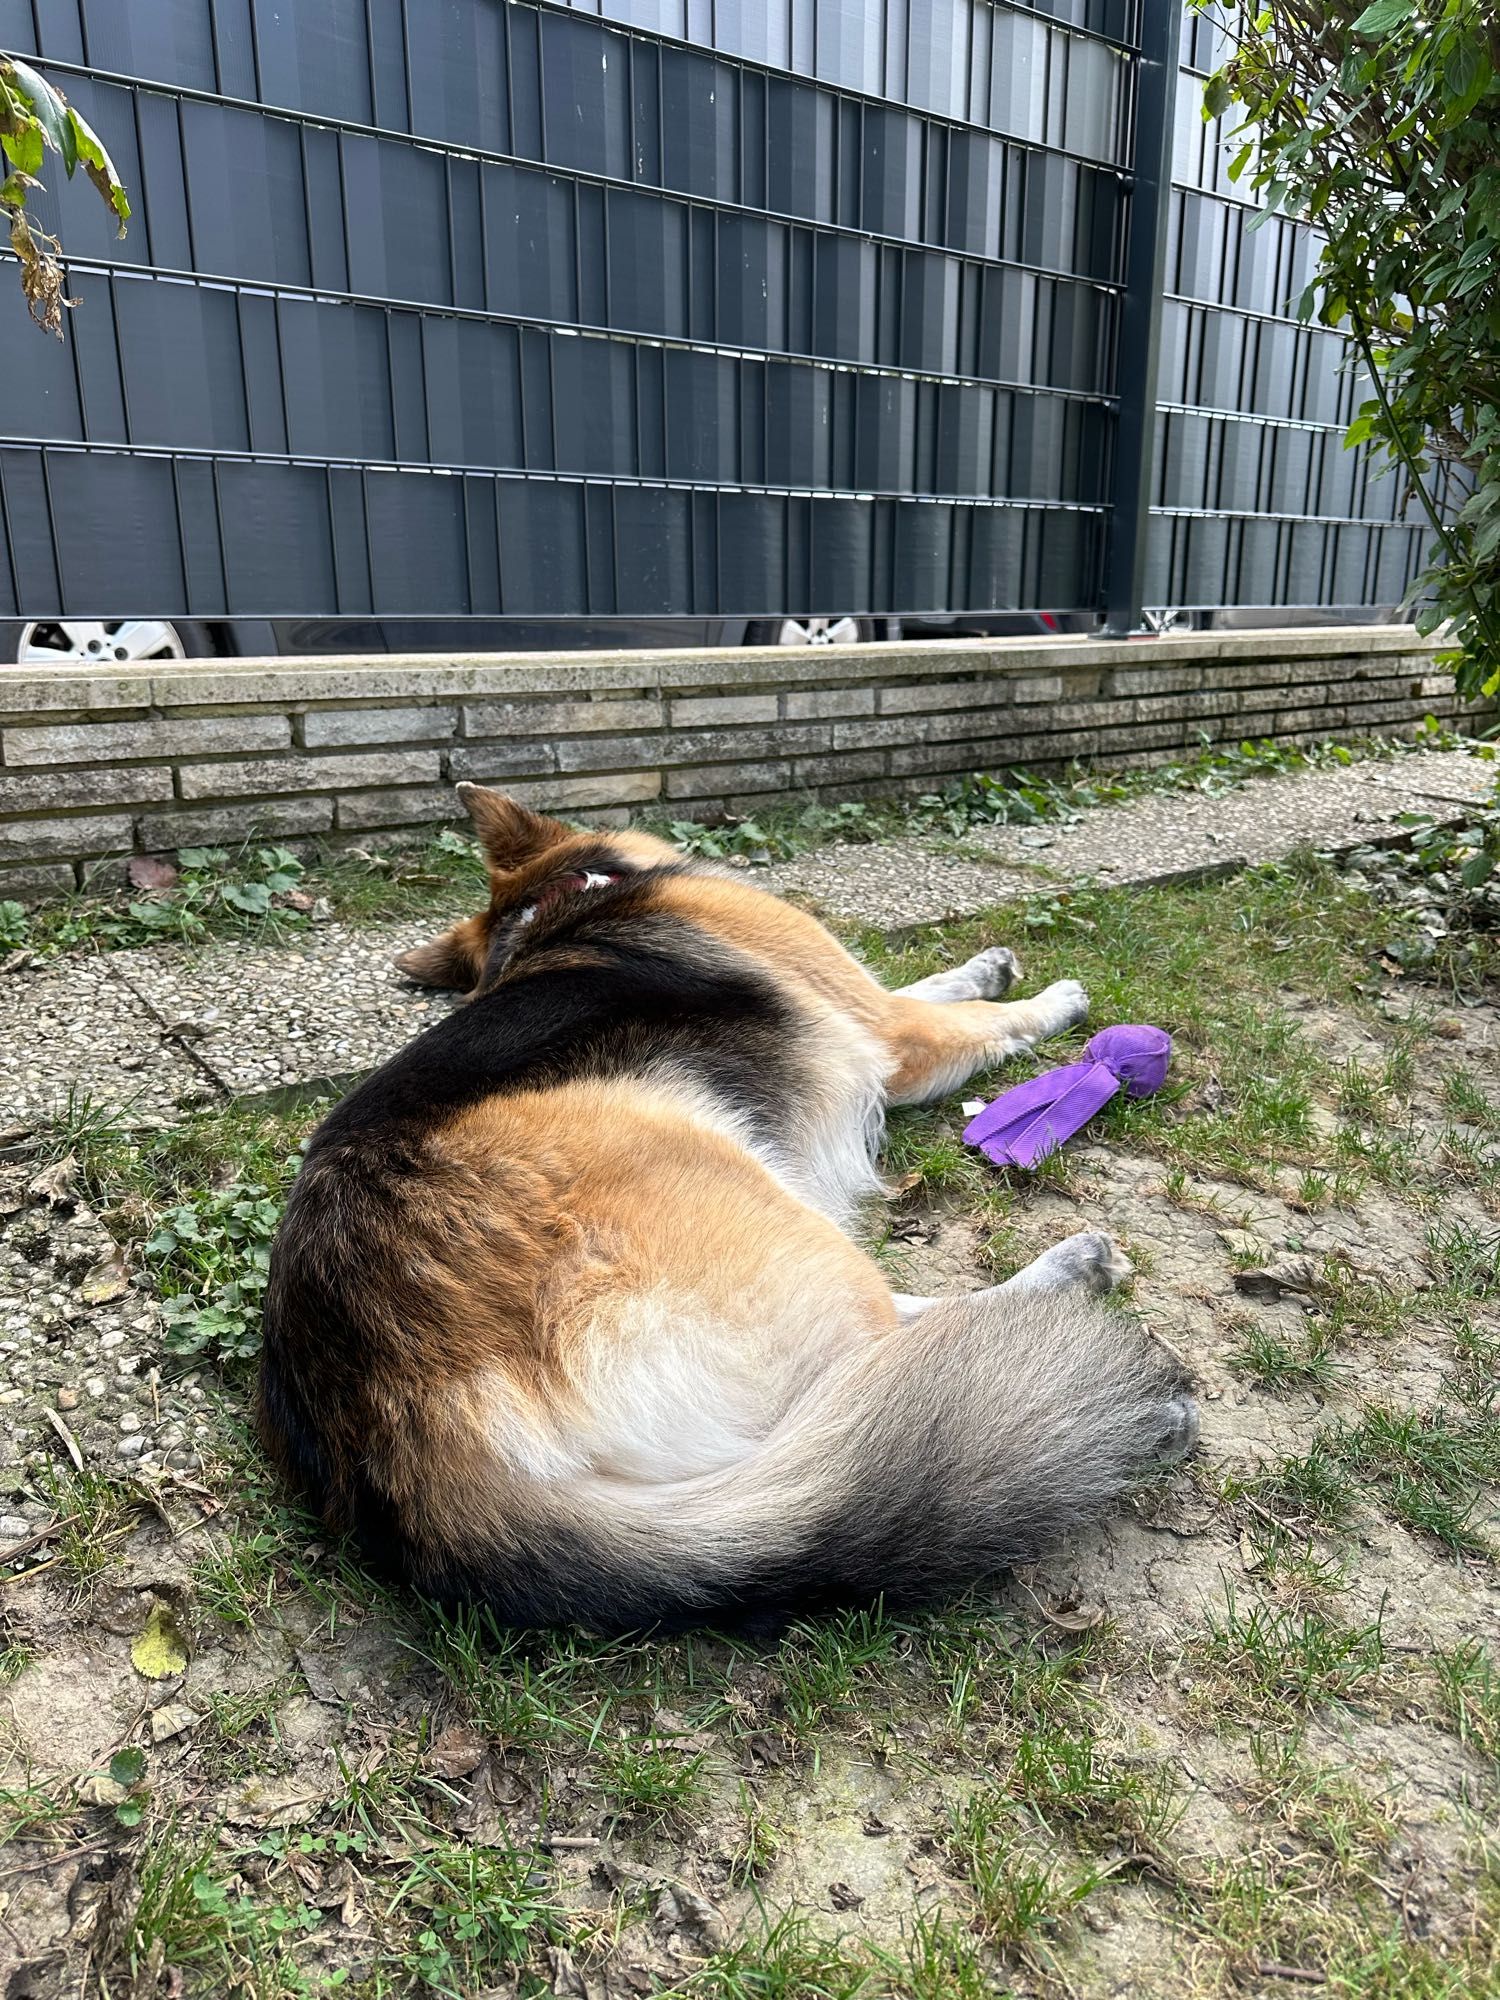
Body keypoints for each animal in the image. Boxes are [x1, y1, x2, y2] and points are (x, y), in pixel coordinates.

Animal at [256, 772, 1200, 1632]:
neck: (566, 902)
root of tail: (402, 1433)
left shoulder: (862, 1000)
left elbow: (928, 980)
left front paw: (985, 965)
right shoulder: (889, 1037)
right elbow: (970, 1020)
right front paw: (1055, 1001)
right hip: (752, 1198)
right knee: (895, 1372)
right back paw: (1085, 1321)